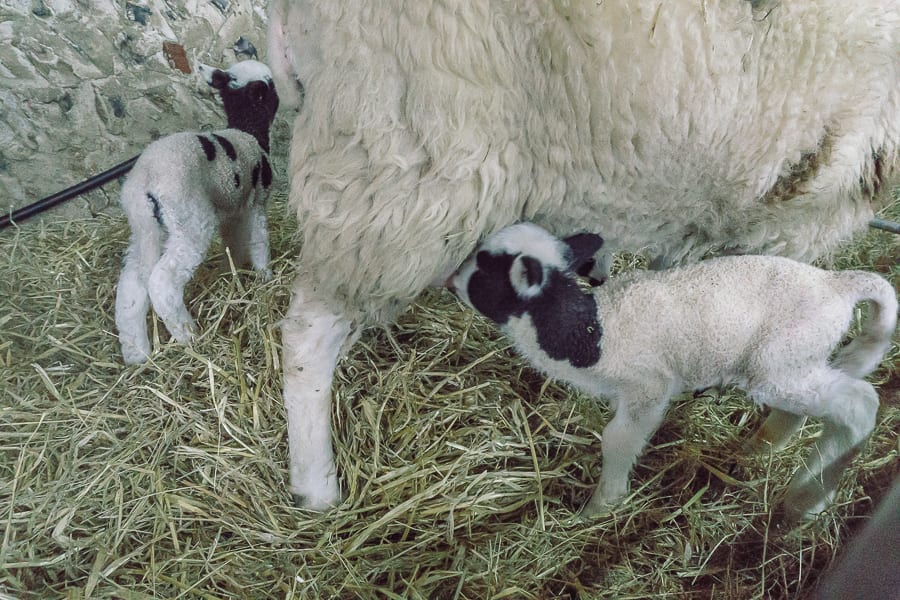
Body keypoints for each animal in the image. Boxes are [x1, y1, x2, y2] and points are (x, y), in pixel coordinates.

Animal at [115, 59, 278, 366]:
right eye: (271, 86)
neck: (248, 130)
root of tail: (145, 180)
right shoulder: (257, 203)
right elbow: (259, 242)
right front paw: (266, 277)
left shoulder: (232, 208)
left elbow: (234, 243)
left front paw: (233, 271)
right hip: (189, 218)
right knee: (162, 282)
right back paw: (189, 335)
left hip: (146, 229)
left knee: (131, 285)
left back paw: (136, 353)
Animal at [446, 223, 896, 524]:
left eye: (483, 267)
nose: (450, 279)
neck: (588, 331)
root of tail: (837, 284)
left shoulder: (649, 385)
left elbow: (618, 438)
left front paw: (602, 504)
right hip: (796, 361)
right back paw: (763, 446)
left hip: (779, 362)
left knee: (859, 403)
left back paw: (805, 502)